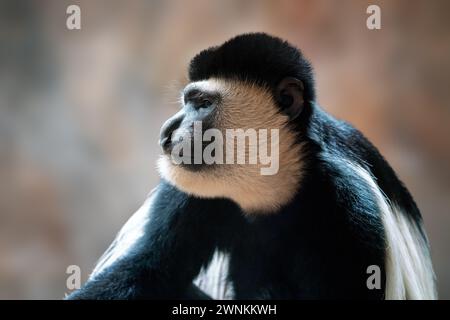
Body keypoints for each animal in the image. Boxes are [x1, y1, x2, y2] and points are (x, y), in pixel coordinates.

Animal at [67, 32, 436, 300]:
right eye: (187, 101)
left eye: (202, 103)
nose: (167, 129)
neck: (273, 187)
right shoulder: (187, 190)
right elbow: (150, 269)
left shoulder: (351, 206)